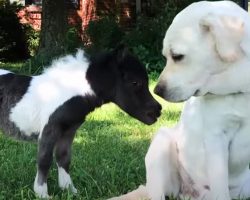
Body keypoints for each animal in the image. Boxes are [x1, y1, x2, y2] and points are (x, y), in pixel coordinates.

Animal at [0, 48, 161, 197]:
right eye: (135, 82)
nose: (157, 111)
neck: (67, 91)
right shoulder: (49, 130)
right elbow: (44, 160)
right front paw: (42, 194)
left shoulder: (69, 131)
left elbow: (64, 157)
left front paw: (70, 190)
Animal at [109, 1, 250, 200]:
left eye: (177, 56)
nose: (157, 90)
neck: (241, 90)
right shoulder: (216, 137)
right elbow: (221, 189)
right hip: (161, 145)